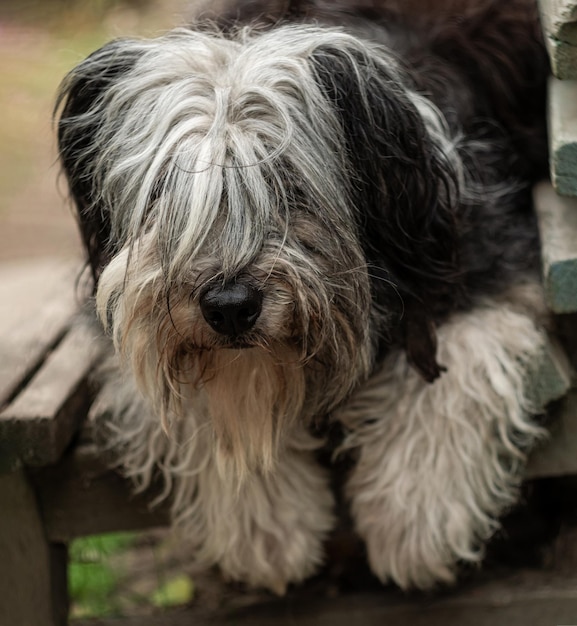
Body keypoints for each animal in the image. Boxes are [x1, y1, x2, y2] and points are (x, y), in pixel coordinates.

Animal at [56, 0, 552, 592]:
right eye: (161, 191)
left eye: (290, 185)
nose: (230, 308)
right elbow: (191, 400)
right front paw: (268, 530)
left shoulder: (486, 265)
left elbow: (452, 378)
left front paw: (412, 522)